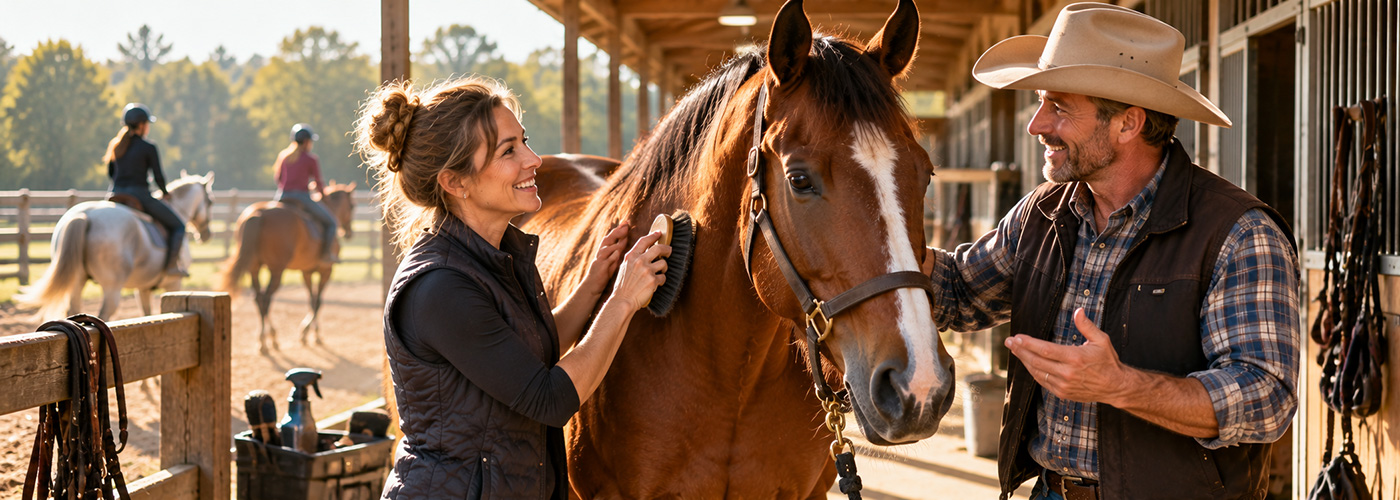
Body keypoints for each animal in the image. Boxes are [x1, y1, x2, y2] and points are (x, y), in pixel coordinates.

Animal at [16, 172, 215, 321]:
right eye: (211, 201)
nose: (206, 235)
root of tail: (85, 215)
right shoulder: (173, 284)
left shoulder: (142, 288)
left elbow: (147, 315)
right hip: (112, 287)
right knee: (104, 315)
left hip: (77, 280)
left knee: (74, 310)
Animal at [216, 181, 356, 352]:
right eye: (352, 206)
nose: (348, 233)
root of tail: (258, 214)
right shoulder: (326, 271)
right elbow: (317, 302)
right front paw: (313, 333)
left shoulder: (306, 272)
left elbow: (311, 299)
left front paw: (306, 332)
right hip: (277, 270)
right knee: (266, 298)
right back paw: (269, 338)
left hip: (254, 268)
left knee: (258, 298)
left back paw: (265, 338)